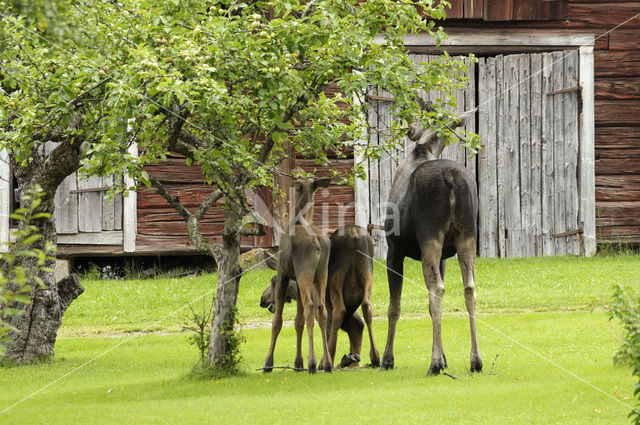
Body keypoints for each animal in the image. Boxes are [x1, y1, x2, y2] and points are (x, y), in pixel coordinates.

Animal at [264, 174, 332, 372]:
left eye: (272, 281)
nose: (263, 302)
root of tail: (316, 241)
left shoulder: (283, 274)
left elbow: (277, 322)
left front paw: (268, 362)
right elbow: (298, 322)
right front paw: (298, 361)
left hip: (304, 274)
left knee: (311, 307)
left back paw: (313, 362)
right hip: (321, 275)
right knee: (321, 310)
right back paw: (327, 363)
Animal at [380, 100, 480, 374]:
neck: (423, 149)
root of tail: (451, 179)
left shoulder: (393, 249)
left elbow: (394, 306)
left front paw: (387, 359)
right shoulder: (446, 255)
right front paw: (445, 357)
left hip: (430, 236)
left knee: (436, 289)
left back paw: (433, 364)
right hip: (467, 235)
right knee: (469, 288)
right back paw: (475, 360)